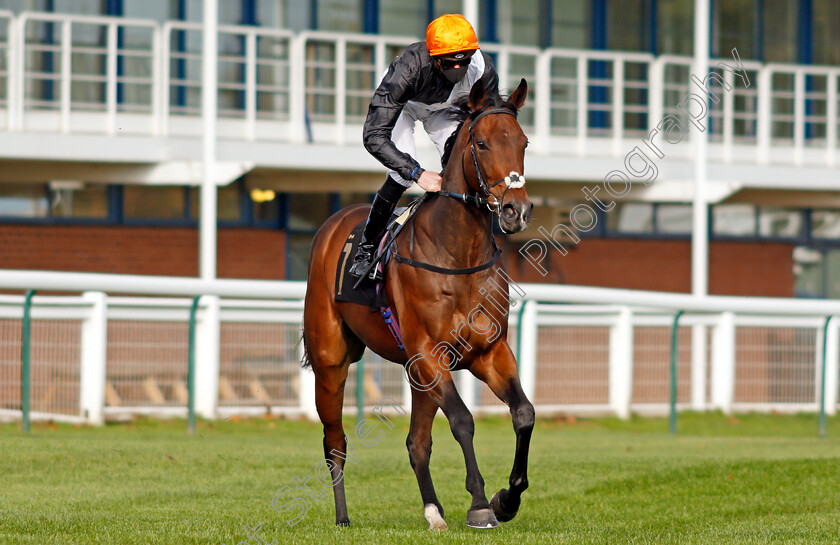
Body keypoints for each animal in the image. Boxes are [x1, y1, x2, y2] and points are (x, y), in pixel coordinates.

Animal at [306, 78, 536, 528]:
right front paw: (480, 504)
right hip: (330, 361)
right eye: (482, 143)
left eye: (523, 142)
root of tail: (331, 226)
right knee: (334, 440)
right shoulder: (430, 353)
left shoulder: (489, 352)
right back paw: (342, 517)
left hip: (415, 374)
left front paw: (507, 499)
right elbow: (463, 420)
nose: (516, 211)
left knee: (417, 442)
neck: (457, 255)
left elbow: (524, 413)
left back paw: (433, 511)